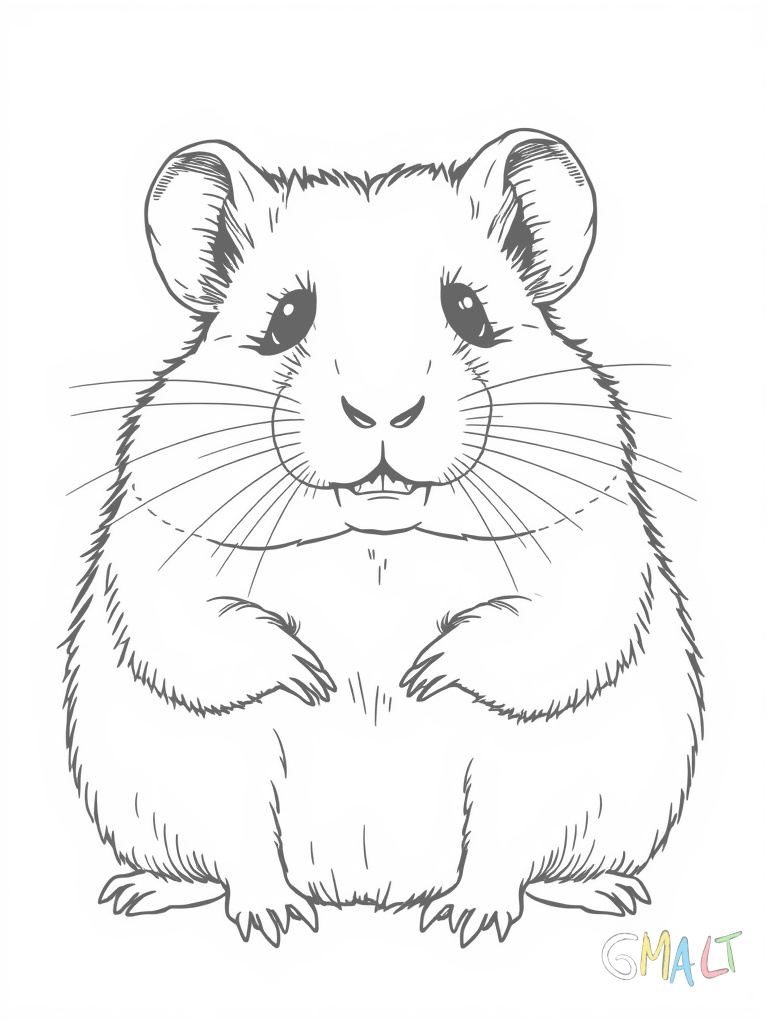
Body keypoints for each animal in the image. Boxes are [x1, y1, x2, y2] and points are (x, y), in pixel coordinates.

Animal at [63, 129, 704, 948]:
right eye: (287, 319)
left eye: (468, 311)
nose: (382, 413)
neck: (378, 542)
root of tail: (367, 895)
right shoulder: (163, 560)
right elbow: (211, 631)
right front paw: (316, 676)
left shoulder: (586, 559)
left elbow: (534, 631)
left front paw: (419, 673)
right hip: (191, 782)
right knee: (236, 857)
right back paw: (230, 909)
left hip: (551, 782)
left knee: (512, 856)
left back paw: (504, 911)